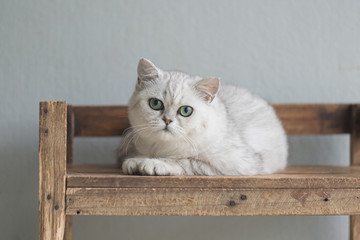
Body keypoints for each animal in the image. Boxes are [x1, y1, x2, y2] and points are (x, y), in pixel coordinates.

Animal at [118, 58, 286, 174]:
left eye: (186, 111)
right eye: (155, 103)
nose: (167, 120)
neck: (164, 147)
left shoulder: (237, 162)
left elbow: (185, 161)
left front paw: (153, 163)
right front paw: (136, 160)